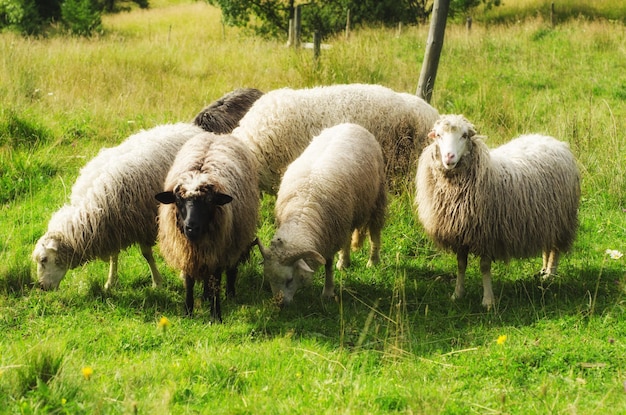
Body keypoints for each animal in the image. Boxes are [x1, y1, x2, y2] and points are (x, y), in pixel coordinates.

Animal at [32, 123, 205, 292]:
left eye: (44, 259)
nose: (42, 287)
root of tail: (191, 128)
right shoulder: (113, 228)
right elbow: (113, 256)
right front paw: (110, 282)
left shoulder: (142, 223)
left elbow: (146, 254)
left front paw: (157, 282)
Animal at [155, 132, 258, 320]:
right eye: (178, 200)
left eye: (209, 201)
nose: (191, 228)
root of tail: (217, 135)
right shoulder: (186, 250)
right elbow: (189, 281)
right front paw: (188, 312)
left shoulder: (219, 251)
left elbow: (216, 280)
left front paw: (216, 315)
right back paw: (204, 295)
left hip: (235, 241)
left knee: (230, 269)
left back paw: (230, 294)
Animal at [255, 122, 386, 306]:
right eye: (269, 280)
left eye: (289, 280)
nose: (280, 304)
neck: (302, 211)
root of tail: (350, 123)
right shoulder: (333, 228)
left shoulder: (329, 238)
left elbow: (328, 265)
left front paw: (328, 292)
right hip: (346, 216)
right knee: (347, 238)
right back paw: (344, 262)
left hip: (377, 197)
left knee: (374, 231)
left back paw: (373, 261)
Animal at [414, 114, 580, 308]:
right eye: (439, 135)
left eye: (464, 135)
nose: (449, 157)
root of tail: (554, 141)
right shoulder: (460, 235)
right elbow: (461, 265)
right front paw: (457, 294)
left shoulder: (487, 234)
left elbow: (485, 267)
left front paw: (488, 300)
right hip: (545, 219)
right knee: (547, 245)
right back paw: (544, 270)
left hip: (561, 219)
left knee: (555, 249)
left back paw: (550, 275)